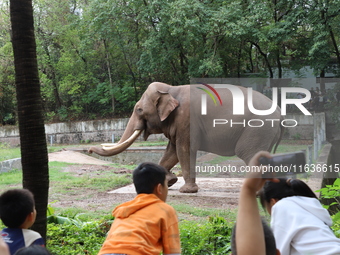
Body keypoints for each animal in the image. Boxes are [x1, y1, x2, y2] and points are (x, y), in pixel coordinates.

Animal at [88, 82, 284, 192]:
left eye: (139, 110)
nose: (89, 149)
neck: (170, 89)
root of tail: (279, 111)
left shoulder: (186, 119)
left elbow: (184, 149)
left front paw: (186, 190)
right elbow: (172, 151)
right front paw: (169, 181)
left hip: (257, 129)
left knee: (248, 153)